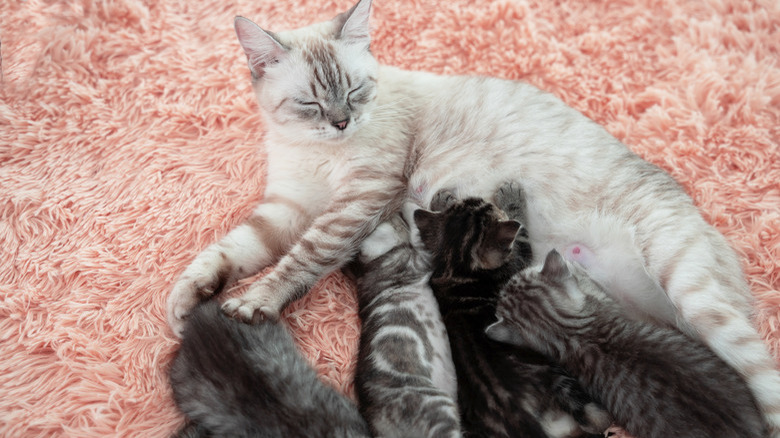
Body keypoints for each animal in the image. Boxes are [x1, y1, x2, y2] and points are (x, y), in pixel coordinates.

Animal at [412, 183, 612, 436]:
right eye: (493, 207)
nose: (497, 203)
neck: (458, 267)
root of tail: (513, 412)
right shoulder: (517, 261)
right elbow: (523, 234)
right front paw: (511, 197)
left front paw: (441, 201)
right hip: (556, 374)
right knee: (590, 417)